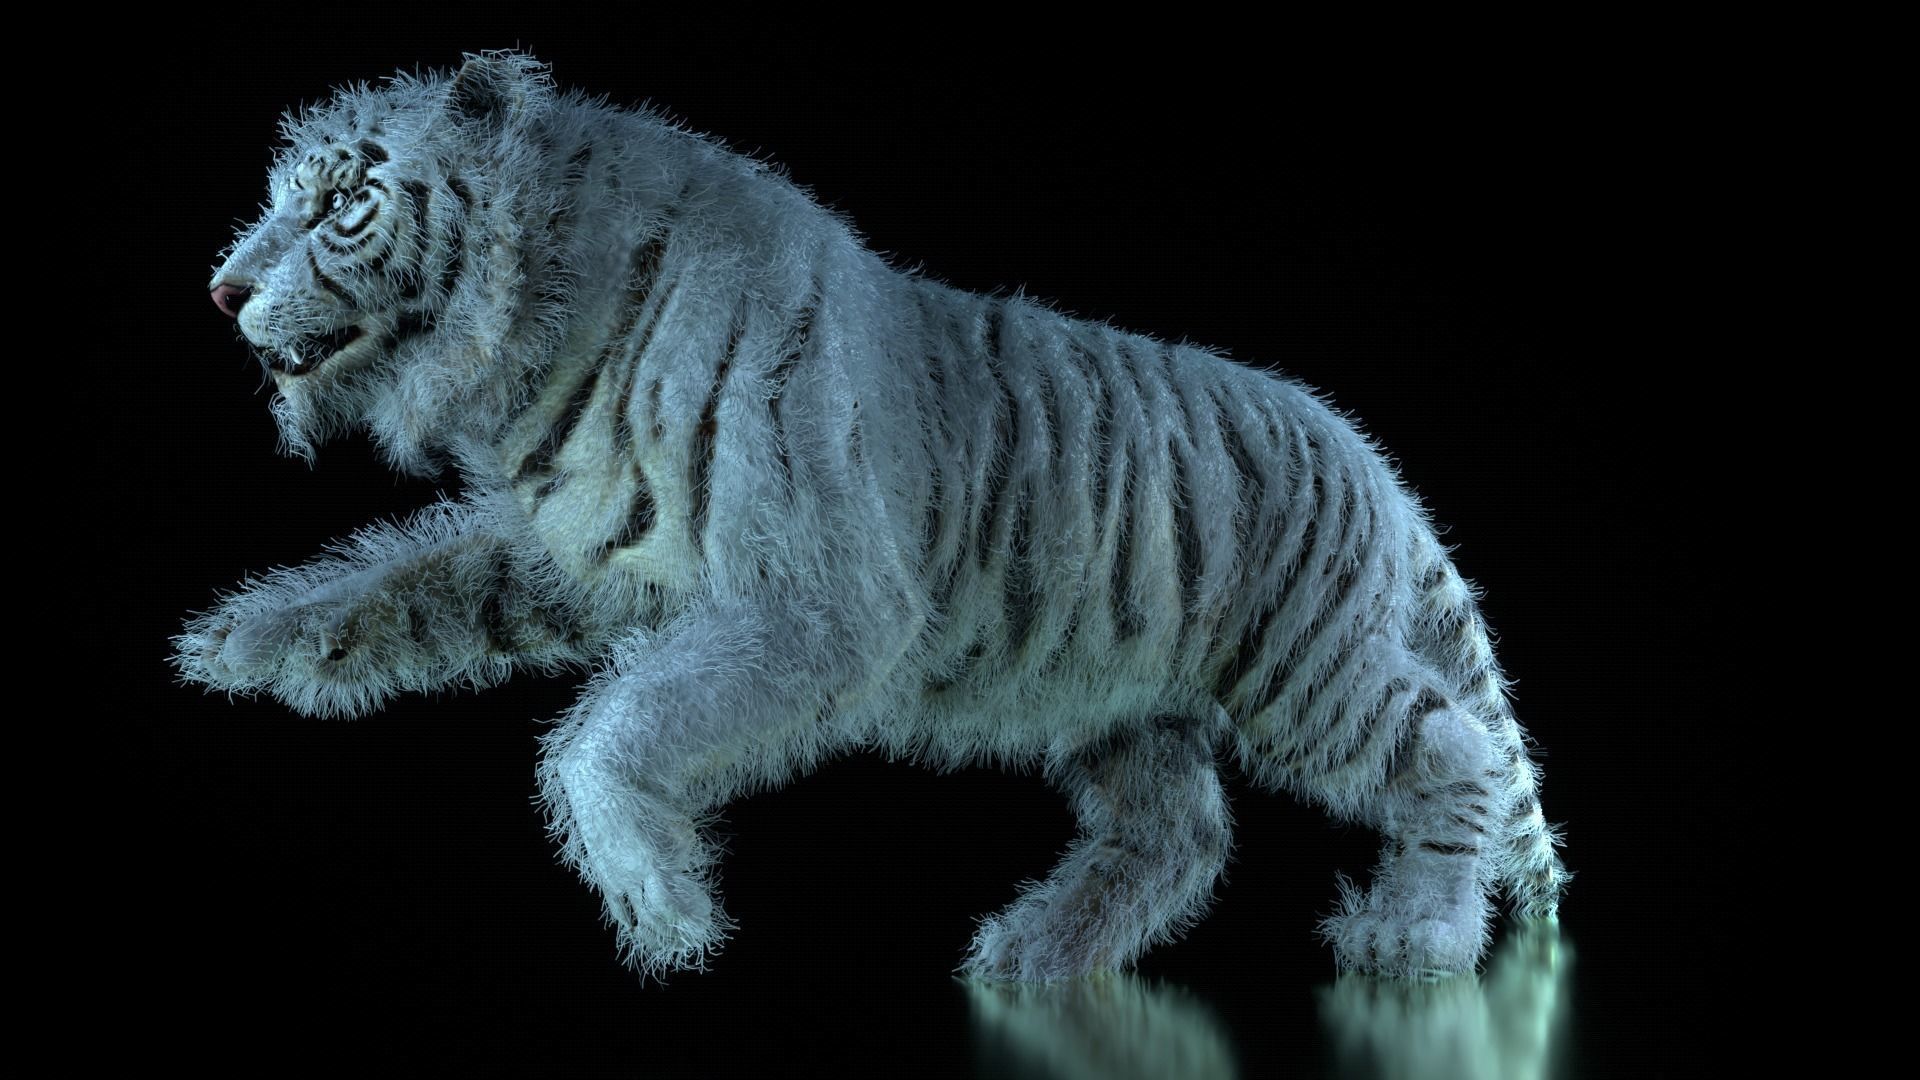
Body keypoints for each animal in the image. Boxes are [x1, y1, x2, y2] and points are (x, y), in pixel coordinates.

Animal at [175, 51, 1569, 982]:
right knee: (1179, 831)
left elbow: (607, 734)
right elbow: (417, 581)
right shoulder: (588, 551)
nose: (223, 287)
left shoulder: (819, 604)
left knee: (1453, 747)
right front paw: (249, 641)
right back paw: (1033, 951)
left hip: (1300, 669)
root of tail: (1375, 463)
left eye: (338, 203)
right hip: (1117, 700)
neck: (543, 336)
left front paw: (665, 909)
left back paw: (1415, 936)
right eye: (277, 196)